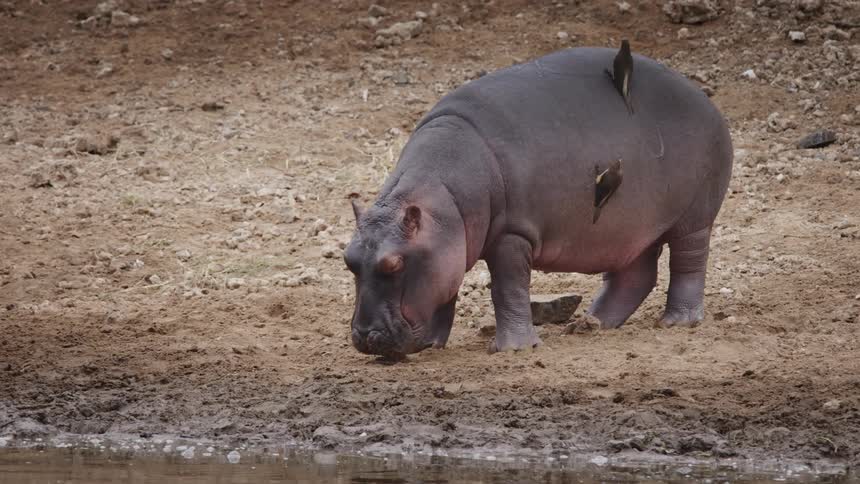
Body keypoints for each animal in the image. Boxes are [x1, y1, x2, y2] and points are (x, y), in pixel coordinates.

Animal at [344, 47, 733, 357]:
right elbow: (445, 294)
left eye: (393, 264)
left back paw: (677, 322)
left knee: (689, 262)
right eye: (348, 260)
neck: (443, 201)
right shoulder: (447, 248)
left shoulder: (512, 234)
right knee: (636, 273)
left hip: (694, 217)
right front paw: (431, 345)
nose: (365, 337)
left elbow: (508, 288)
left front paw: (512, 349)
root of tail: (705, 100)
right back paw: (589, 325)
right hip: (631, 228)